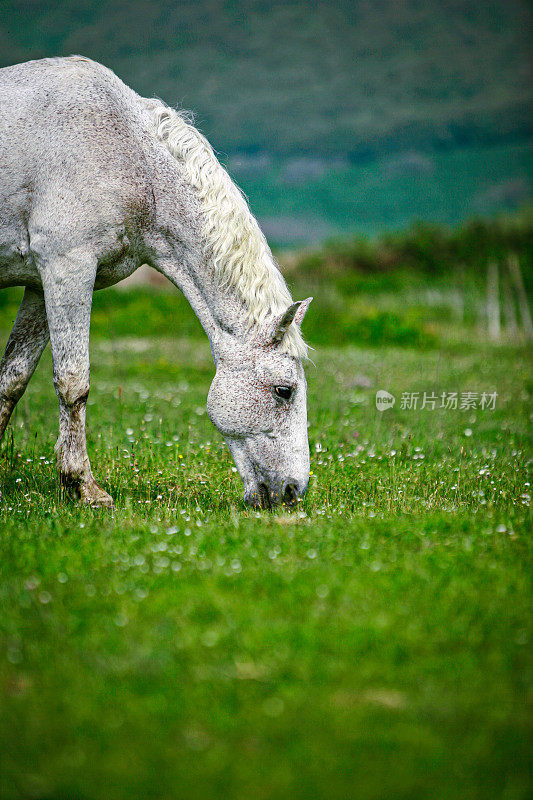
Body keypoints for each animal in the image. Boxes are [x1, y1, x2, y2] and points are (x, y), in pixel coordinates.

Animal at [0, 56, 312, 510]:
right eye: (284, 391)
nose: (293, 492)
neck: (127, 154)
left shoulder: (41, 284)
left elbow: (13, 378)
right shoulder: (67, 268)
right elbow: (74, 381)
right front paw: (85, 487)